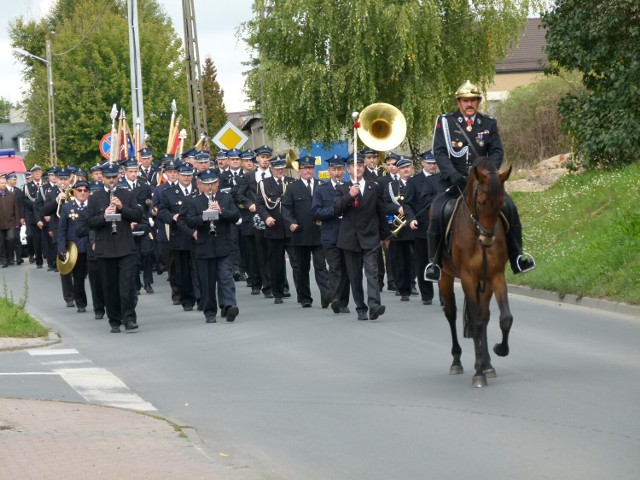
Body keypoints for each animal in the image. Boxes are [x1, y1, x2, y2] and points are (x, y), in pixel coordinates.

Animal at [440, 158, 516, 386]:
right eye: (481, 202)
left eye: (501, 203)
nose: (487, 239)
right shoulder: (467, 278)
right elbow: (474, 323)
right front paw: (478, 374)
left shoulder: (495, 276)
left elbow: (504, 318)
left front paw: (499, 350)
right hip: (445, 277)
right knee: (451, 314)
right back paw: (457, 361)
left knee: (485, 317)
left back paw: (487, 363)